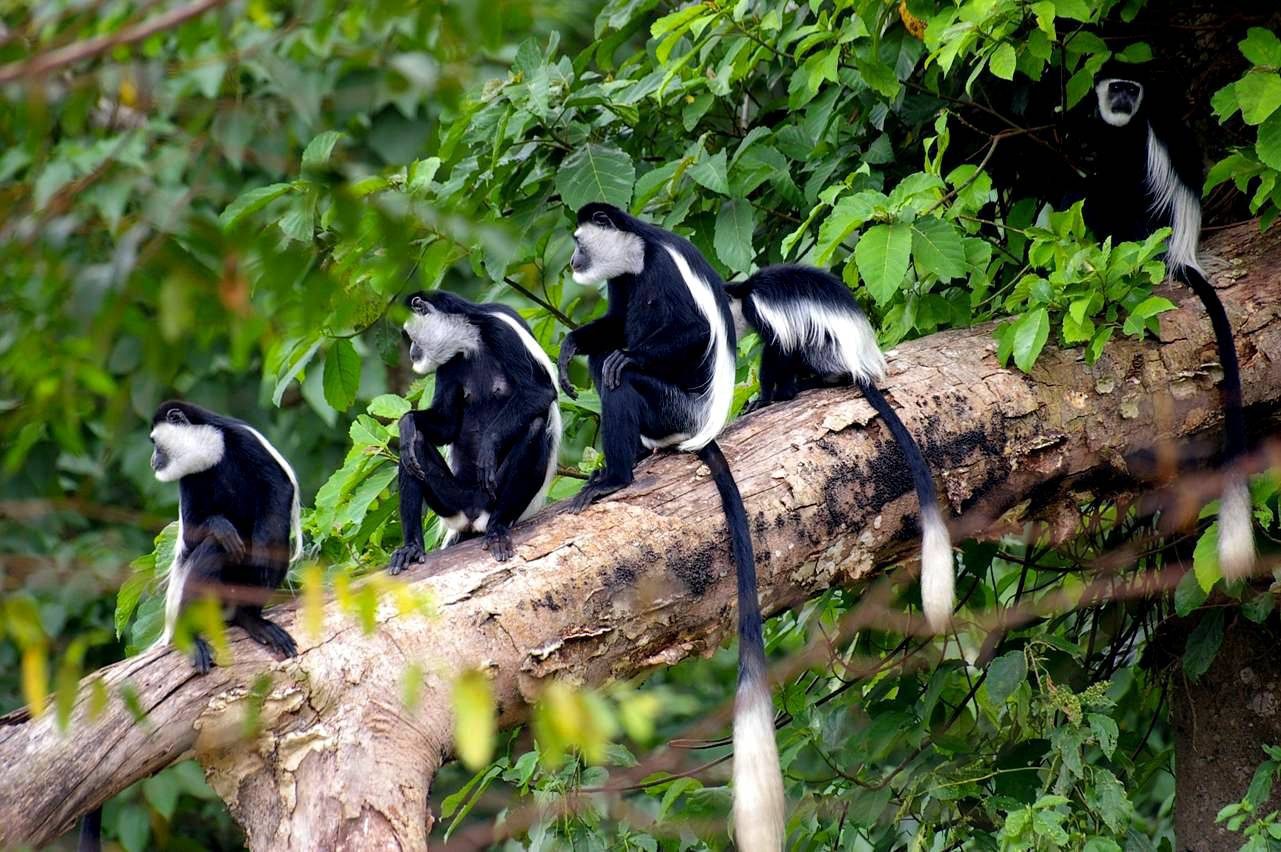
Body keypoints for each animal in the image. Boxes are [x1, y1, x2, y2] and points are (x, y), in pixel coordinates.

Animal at [148, 401, 301, 673]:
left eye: (155, 442)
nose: (153, 460)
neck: (209, 449)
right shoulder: (188, 478)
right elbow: (192, 534)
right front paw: (222, 527)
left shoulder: (244, 439)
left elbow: (279, 487)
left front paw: (262, 549)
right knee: (215, 548)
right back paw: (191, 637)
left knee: (276, 539)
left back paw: (251, 619)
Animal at [390, 290, 560, 572]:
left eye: (411, 337)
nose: (413, 352)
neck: (471, 342)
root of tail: (472, 516)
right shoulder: (448, 363)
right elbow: (446, 424)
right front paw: (406, 423)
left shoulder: (502, 333)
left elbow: (539, 391)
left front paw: (488, 447)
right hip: (453, 502)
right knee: (412, 447)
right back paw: (411, 548)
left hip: (493, 500)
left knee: (535, 426)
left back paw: (497, 529)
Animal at [558, 203, 785, 851]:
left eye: (579, 240)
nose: (573, 260)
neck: (636, 256)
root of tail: (698, 432)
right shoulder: (621, 282)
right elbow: (610, 325)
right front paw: (571, 341)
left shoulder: (662, 272)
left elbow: (689, 335)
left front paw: (626, 356)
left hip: (671, 407)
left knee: (622, 381)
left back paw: (615, 474)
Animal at [724, 264, 956, 630]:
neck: (745, 291)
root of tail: (861, 366)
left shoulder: (764, 312)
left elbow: (777, 349)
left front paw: (765, 399)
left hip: (827, 350)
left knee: (801, 347)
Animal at [1085, 61, 1253, 579]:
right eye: (1115, 88)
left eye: (1130, 89)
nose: (1122, 98)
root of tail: (1183, 250)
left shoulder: (1130, 143)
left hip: (1148, 230)